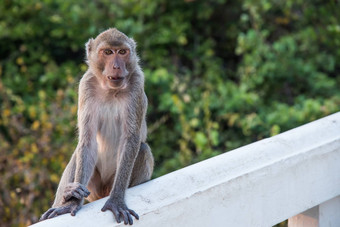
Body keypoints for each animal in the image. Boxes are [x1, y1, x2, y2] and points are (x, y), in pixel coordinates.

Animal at [39, 28, 154, 225]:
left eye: (122, 52)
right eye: (107, 52)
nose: (116, 66)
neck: (110, 90)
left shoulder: (137, 83)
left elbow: (130, 139)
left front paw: (116, 200)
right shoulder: (86, 85)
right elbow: (87, 141)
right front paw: (72, 203)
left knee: (143, 149)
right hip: (93, 187)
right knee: (78, 154)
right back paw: (67, 197)